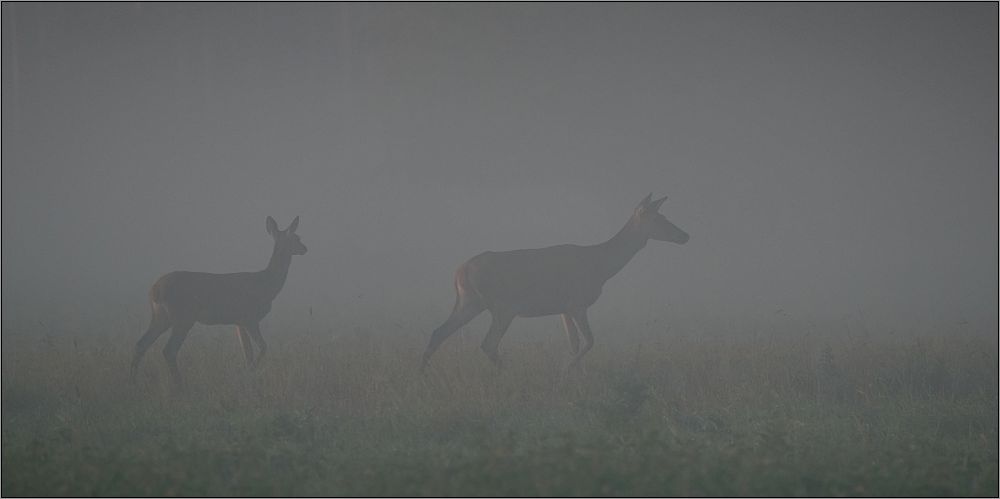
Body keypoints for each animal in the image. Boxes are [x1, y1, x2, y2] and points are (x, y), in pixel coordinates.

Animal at [131, 217, 306, 384]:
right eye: (296, 238)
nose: (305, 249)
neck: (266, 285)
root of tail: (154, 290)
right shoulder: (250, 317)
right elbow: (263, 347)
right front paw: (251, 372)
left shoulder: (239, 322)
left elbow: (247, 353)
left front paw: (248, 375)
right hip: (183, 317)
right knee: (169, 350)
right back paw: (179, 384)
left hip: (161, 317)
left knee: (141, 344)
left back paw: (134, 380)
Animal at [420, 194, 688, 372]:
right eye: (659, 218)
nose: (685, 235)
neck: (600, 267)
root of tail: (459, 272)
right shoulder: (577, 303)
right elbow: (589, 341)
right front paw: (566, 370)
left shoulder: (563, 309)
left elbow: (574, 343)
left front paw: (573, 372)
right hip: (503, 306)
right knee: (488, 343)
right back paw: (507, 372)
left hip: (470, 302)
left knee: (438, 332)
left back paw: (424, 372)